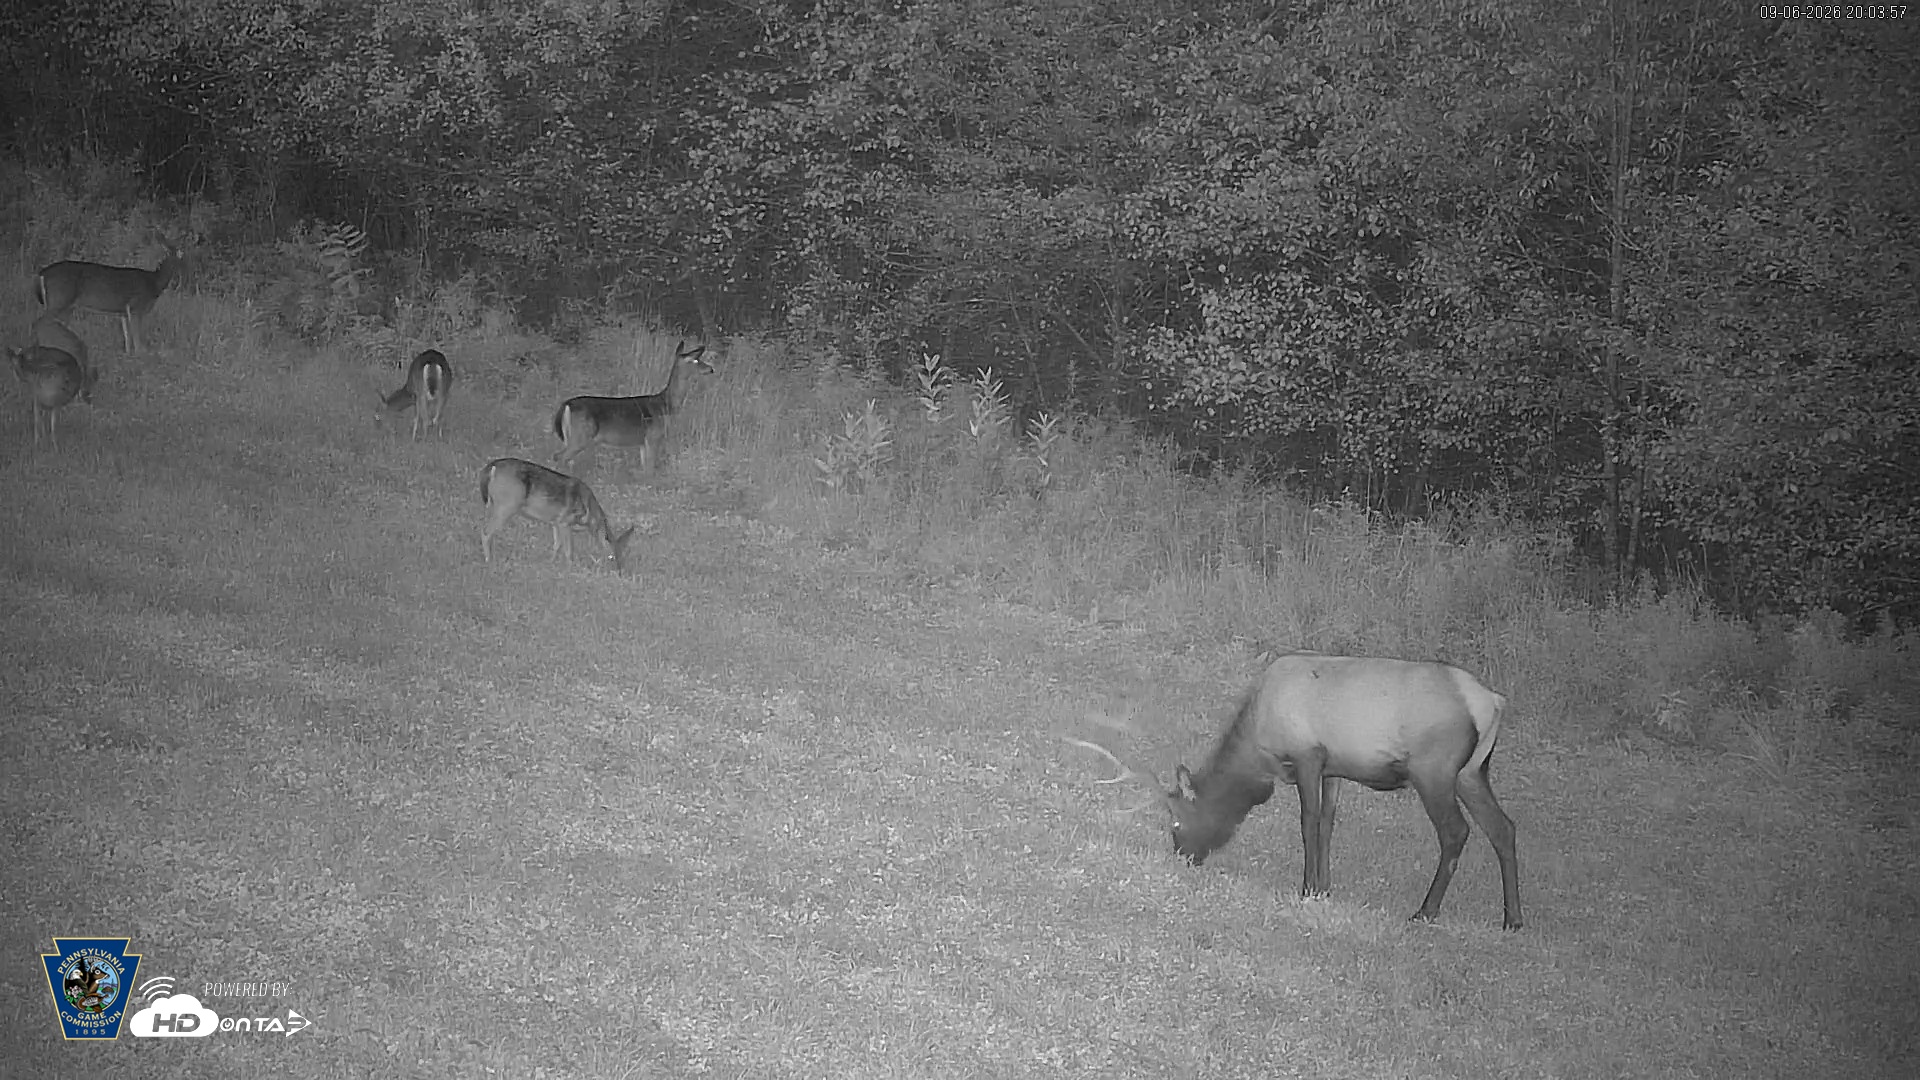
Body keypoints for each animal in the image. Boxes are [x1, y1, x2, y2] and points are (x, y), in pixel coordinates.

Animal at [36, 237, 186, 355]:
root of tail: (42, 273)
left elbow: (127, 337)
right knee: (40, 324)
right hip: (59, 300)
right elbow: (137, 340)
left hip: (66, 307)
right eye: (178, 257)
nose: (178, 279)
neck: (153, 283)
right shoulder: (136, 306)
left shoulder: (123, 312)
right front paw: (141, 356)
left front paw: (128, 356)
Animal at [479, 458, 635, 572]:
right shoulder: (565, 521)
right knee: (486, 532)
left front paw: (551, 562)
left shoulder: (555, 522)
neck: (589, 515)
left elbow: (556, 544)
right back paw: (489, 561)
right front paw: (570, 568)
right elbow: (568, 549)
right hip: (506, 505)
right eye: (611, 557)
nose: (619, 571)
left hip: (493, 504)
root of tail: (492, 467)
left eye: (623, 555)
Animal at [552, 340, 711, 471]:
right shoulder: (653, 436)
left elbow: (645, 467)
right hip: (581, 435)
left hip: (571, 436)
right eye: (696, 360)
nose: (711, 369)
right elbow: (650, 468)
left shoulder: (643, 442)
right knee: (560, 457)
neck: (666, 404)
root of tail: (566, 404)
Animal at [1068, 652, 1522, 930]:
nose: (1183, 856)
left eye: (1177, 822)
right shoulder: (1335, 767)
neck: (1258, 749)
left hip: (1435, 770)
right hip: (1472, 772)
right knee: (1504, 827)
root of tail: (1493, 703)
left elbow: (1308, 822)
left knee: (1456, 832)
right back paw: (1513, 919)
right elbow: (1328, 824)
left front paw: (1307, 888)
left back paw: (1426, 912)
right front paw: (1325, 887)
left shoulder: (1308, 755)